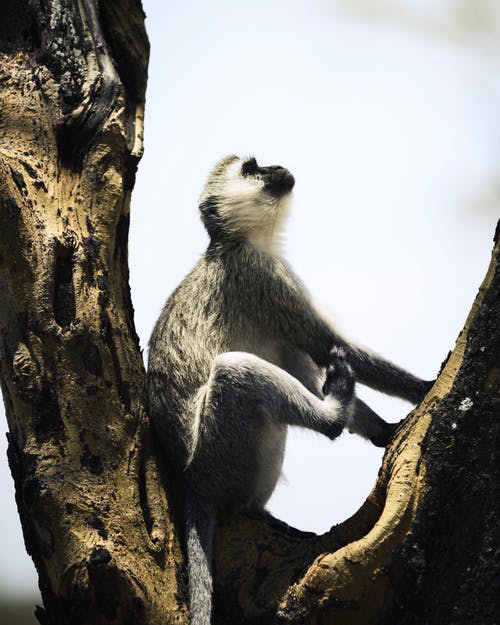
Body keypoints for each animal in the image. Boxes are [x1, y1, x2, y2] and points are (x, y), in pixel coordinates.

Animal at [146, 152, 434, 624]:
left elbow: (310, 356)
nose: (277, 166)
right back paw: (333, 417)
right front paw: (426, 387)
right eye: (251, 168)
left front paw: (385, 431)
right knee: (237, 371)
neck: (242, 242)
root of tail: (194, 482)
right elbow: (332, 345)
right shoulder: (267, 280)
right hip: (221, 452)